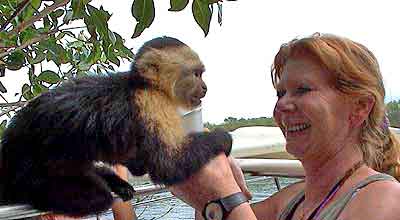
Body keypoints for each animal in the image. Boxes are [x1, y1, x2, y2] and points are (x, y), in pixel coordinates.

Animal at [0, 36, 231, 217]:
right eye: (196, 74)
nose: (205, 88)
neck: (143, 84)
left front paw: (135, 166)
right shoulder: (152, 103)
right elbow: (167, 165)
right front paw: (223, 138)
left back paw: (111, 180)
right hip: (29, 171)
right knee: (95, 196)